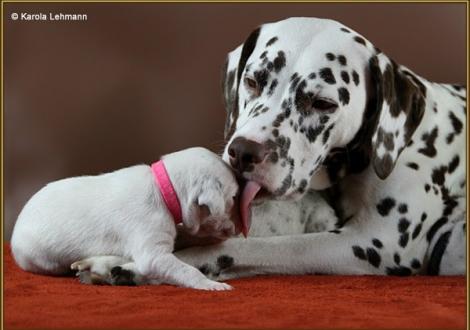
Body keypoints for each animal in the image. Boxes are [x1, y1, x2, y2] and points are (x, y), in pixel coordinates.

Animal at [11, 148, 239, 290]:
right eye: (233, 197)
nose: (234, 230)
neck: (164, 189)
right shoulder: (153, 252)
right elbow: (185, 269)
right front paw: (211, 285)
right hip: (44, 260)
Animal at [71, 16, 464, 284]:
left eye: (322, 103)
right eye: (252, 80)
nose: (243, 152)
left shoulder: (372, 243)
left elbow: (242, 247)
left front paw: (127, 266)